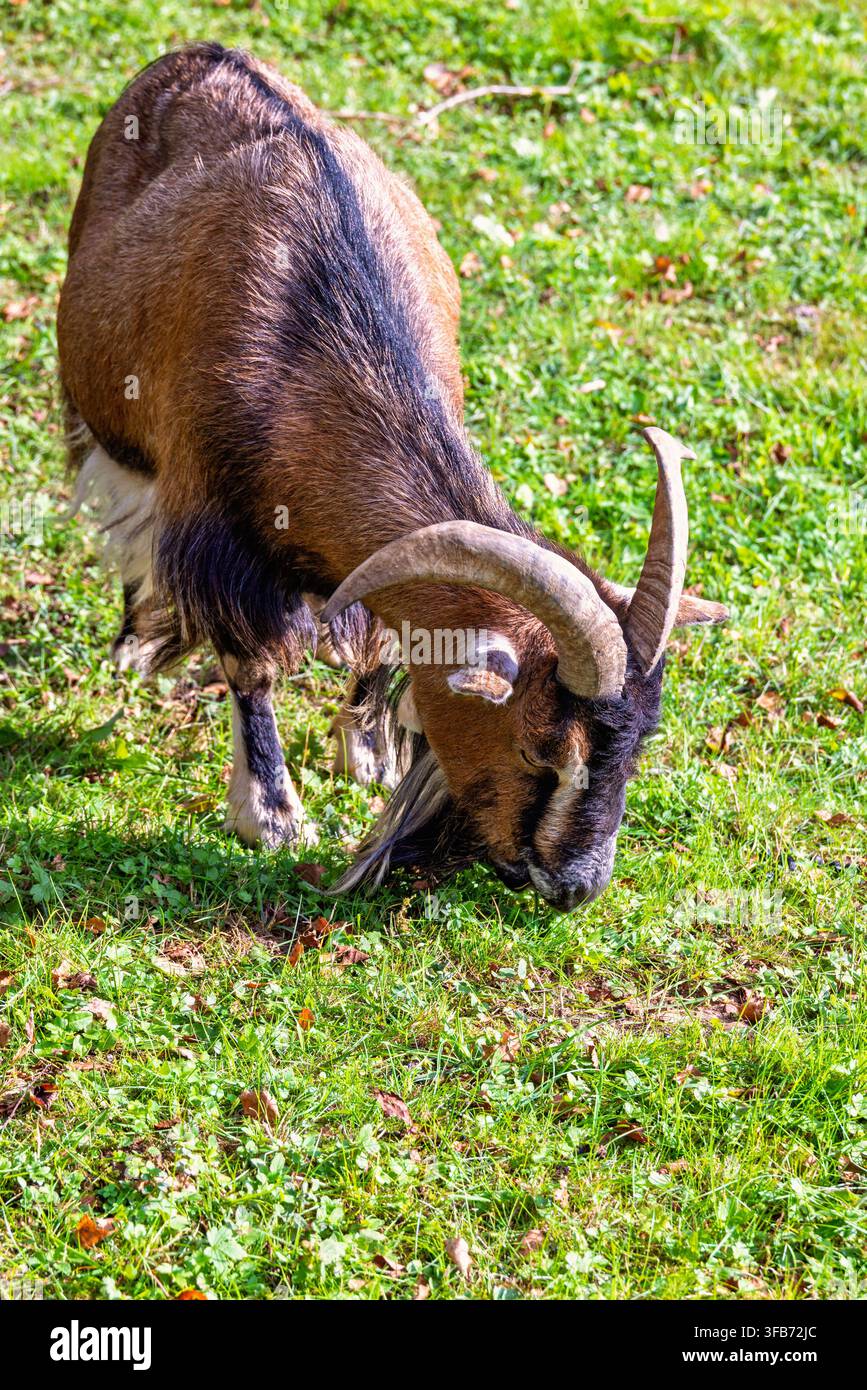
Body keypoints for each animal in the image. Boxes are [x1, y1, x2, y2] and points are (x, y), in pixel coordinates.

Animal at [57, 43, 727, 912]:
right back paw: (136, 642)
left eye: (637, 748)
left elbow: (381, 629)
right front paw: (271, 815)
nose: (575, 886)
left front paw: (366, 754)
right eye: (541, 750)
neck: (308, 358)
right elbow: (250, 663)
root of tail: (198, 56)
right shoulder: (215, 528)